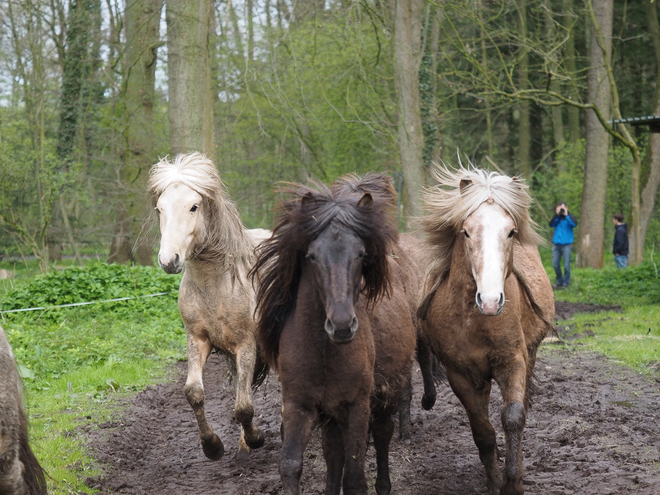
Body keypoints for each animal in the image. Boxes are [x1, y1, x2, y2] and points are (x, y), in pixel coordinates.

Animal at [151, 154, 270, 462]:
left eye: (194, 206)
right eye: (160, 208)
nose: (169, 260)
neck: (216, 284)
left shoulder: (247, 344)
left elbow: (243, 407)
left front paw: (256, 439)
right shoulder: (198, 340)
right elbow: (194, 392)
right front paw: (213, 446)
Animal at [253, 174, 418, 495]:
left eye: (362, 254)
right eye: (312, 256)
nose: (341, 325)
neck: (324, 352)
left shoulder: (357, 406)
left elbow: (354, 476)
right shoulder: (299, 405)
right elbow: (291, 464)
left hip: (385, 395)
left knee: (382, 435)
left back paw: (384, 484)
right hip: (331, 414)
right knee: (333, 455)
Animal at [420, 167, 556, 495]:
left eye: (511, 232)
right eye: (466, 231)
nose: (491, 301)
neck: (475, 322)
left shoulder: (513, 361)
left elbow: (514, 417)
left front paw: (513, 481)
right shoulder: (460, 374)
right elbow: (482, 430)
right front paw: (494, 480)